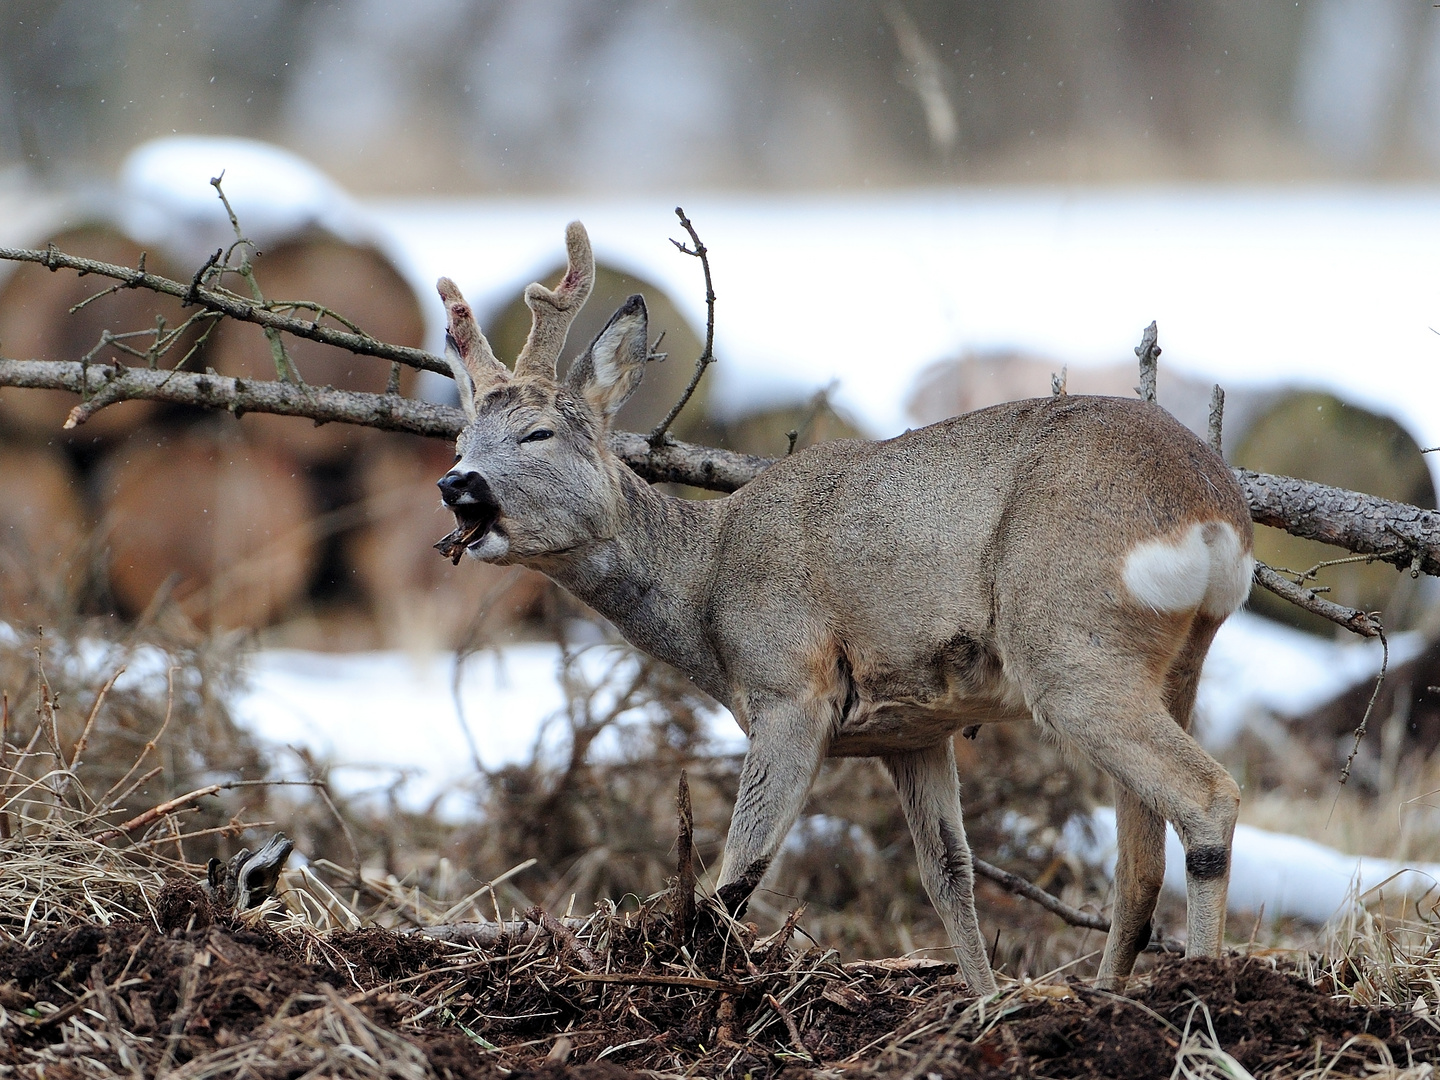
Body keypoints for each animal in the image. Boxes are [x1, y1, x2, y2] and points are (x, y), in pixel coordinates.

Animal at [432, 221, 1255, 996]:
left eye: (537, 432)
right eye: (460, 439)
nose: (456, 484)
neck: (706, 590)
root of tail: (1214, 511)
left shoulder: (790, 684)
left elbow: (738, 873)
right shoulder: (913, 731)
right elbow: (949, 877)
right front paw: (985, 1006)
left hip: (1069, 647)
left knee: (1208, 797)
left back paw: (1204, 988)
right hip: (1171, 664)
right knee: (1139, 867)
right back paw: (1109, 998)